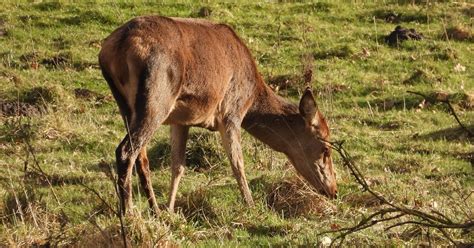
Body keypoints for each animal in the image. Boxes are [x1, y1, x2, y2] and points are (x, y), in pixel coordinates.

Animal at [97, 15, 336, 214]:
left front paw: (171, 210)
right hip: (156, 100)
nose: (334, 190)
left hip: (126, 106)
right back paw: (128, 214)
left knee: (142, 159)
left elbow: (178, 165)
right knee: (126, 151)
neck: (252, 96)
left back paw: (154, 210)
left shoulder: (181, 120)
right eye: (325, 148)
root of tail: (113, 49)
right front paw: (251, 205)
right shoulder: (231, 112)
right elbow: (238, 163)